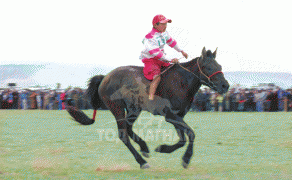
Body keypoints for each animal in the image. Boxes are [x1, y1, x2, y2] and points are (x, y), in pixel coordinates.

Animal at [66, 46, 230, 169]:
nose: (225, 86)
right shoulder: (170, 115)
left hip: (133, 109)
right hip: (117, 108)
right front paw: (186, 159)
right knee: (123, 134)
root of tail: (105, 78)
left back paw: (144, 147)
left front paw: (163, 148)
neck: (182, 81)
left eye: (219, 66)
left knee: (128, 129)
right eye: (208, 67)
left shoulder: (178, 116)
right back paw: (142, 161)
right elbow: (191, 134)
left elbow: (182, 139)